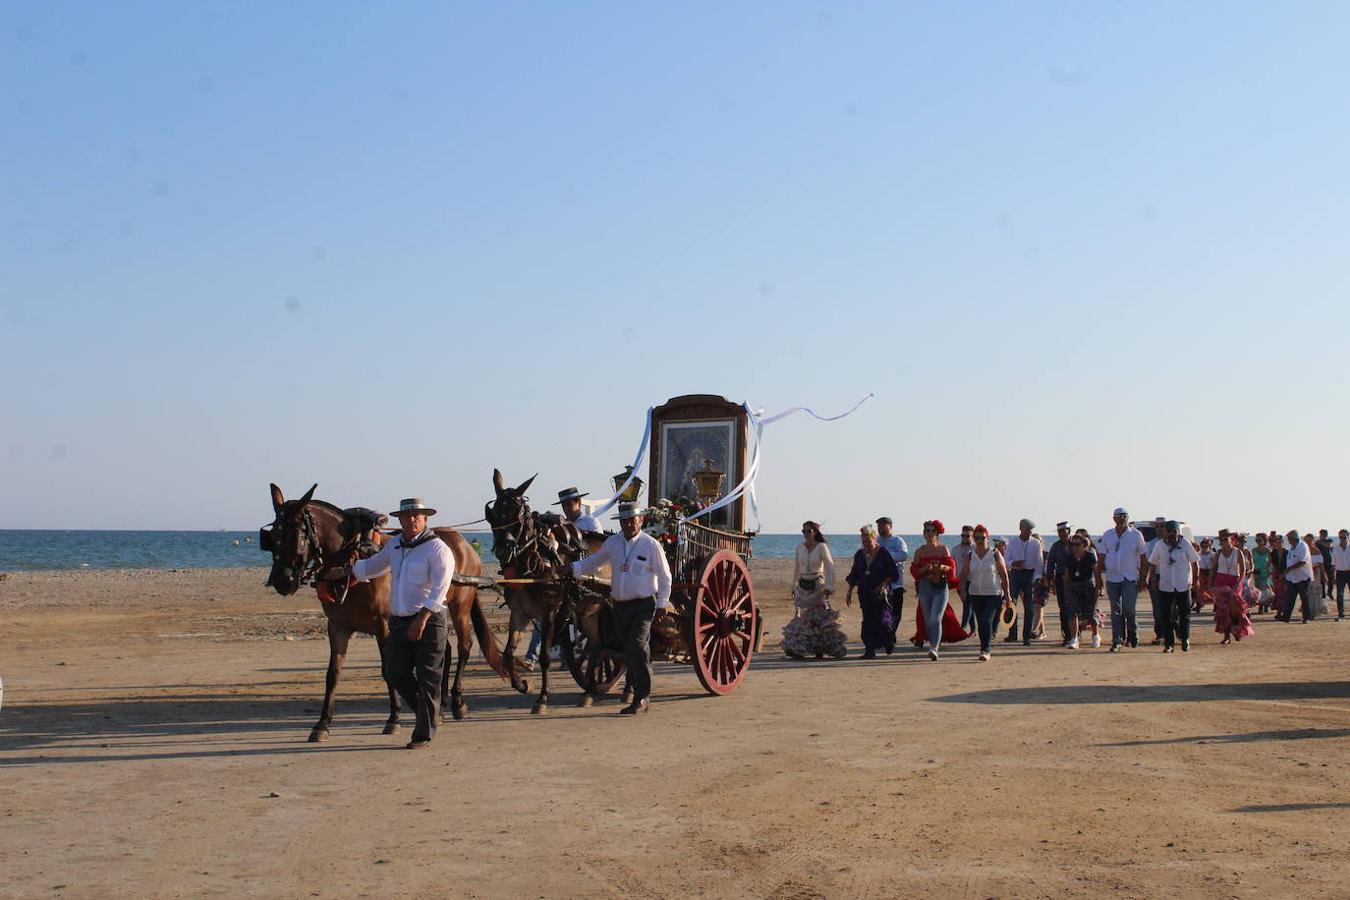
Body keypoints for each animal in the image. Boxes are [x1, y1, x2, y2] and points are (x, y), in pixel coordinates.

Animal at [263, 483, 515, 744]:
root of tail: (463, 543)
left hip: (460, 606)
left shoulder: (382, 625)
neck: (352, 557)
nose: (282, 581)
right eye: (272, 536)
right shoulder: (337, 626)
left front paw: (394, 718)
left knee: (464, 646)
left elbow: (388, 671)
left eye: (297, 534)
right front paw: (322, 723)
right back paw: (442, 703)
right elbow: (333, 673)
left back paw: (457, 702)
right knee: (443, 650)